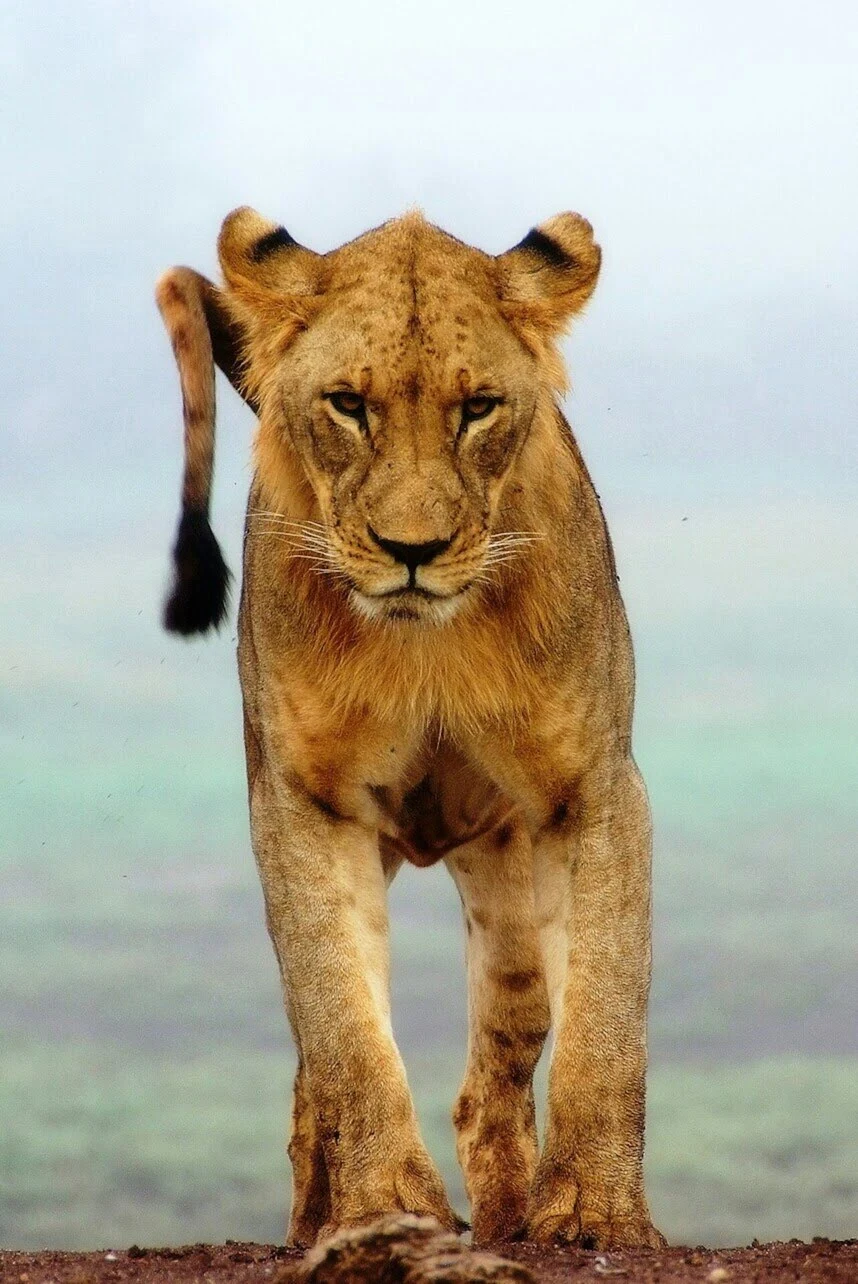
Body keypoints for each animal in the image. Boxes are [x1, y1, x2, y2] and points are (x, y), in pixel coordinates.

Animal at [154, 205, 662, 1248]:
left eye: (479, 409)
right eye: (349, 404)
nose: (413, 551)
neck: (427, 645)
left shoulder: (595, 788)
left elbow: (606, 1016)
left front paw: (594, 1215)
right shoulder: (306, 803)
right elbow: (346, 1030)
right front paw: (384, 1208)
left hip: (506, 887)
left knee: (498, 1067)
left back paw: (508, 1219)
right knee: (312, 1075)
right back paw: (317, 1219)